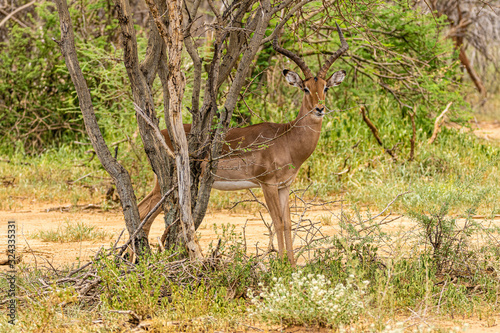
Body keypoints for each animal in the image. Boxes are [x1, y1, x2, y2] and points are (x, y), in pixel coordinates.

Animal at [137, 23, 348, 266]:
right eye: (305, 88)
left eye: (326, 87)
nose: (319, 109)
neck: (287, 138)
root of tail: (162, 133)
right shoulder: (268, 184)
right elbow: (277, 222)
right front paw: (282, 265)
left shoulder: (284, 186)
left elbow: (288, 223)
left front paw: (292, 265)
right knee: (142, 211)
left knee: (145, 213)